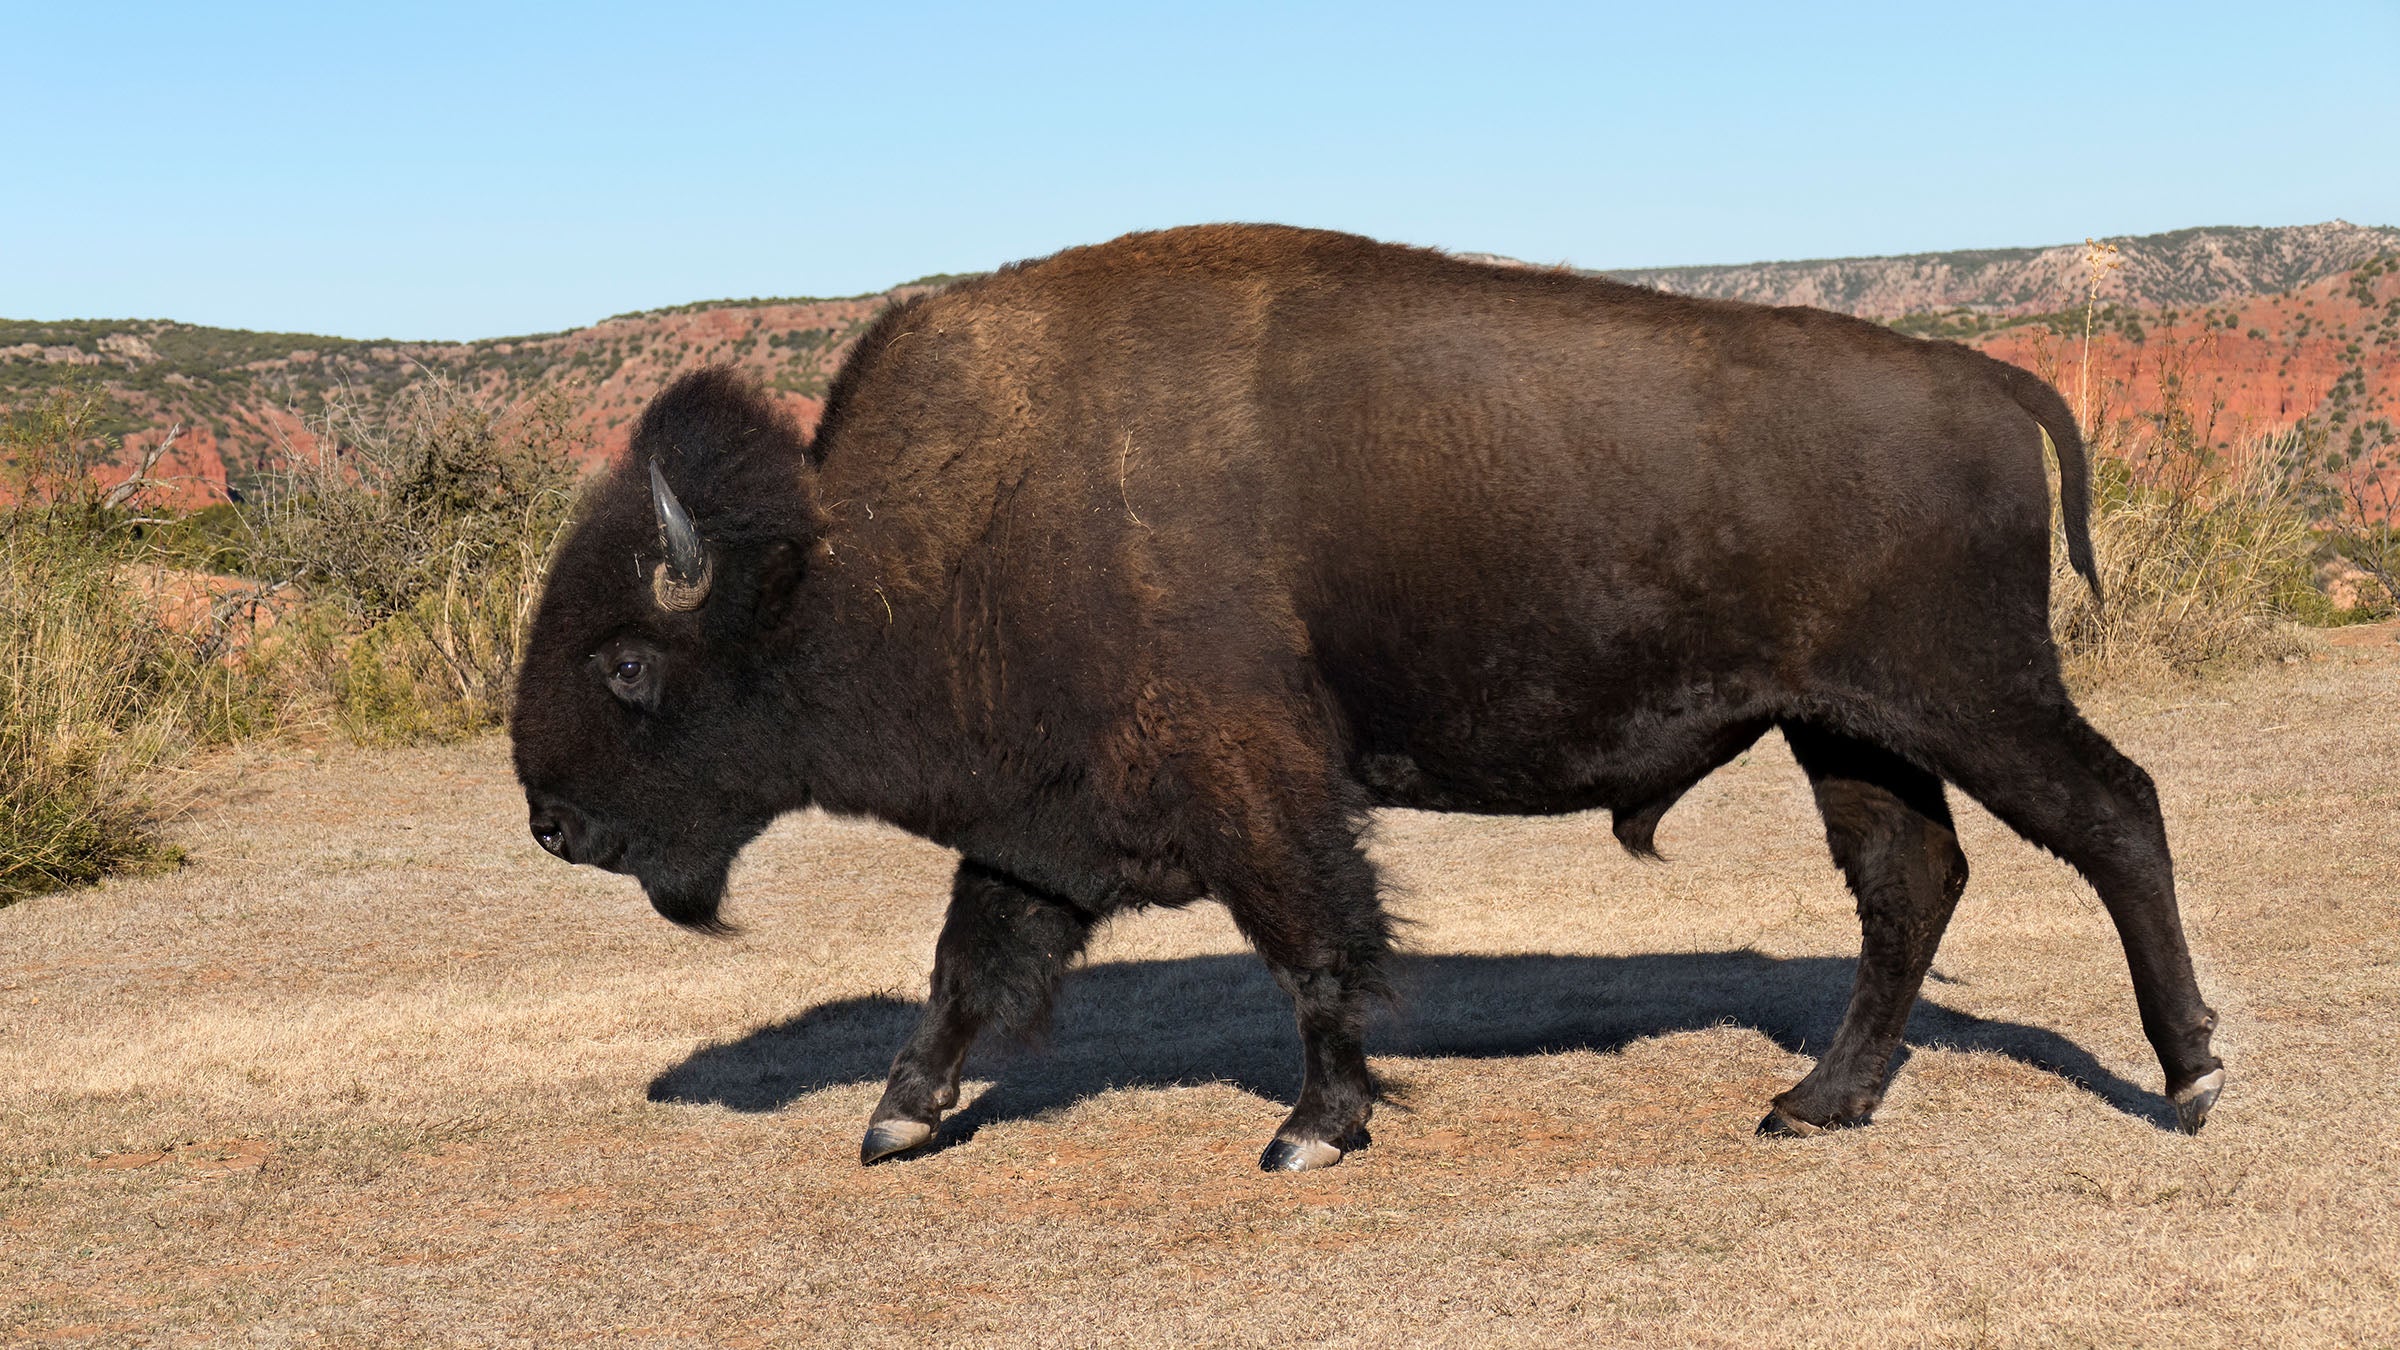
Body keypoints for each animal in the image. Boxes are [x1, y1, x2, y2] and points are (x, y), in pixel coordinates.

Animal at [511, 223, 2227, 1167]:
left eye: (626, 660)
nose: (550, 820)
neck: (890, 538)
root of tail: (1988, 377)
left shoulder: (1256, 789)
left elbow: (1318, 946)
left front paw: (1309, 1131)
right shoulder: (1033, 824)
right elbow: (969, 967)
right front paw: (897, 1117)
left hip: (1963, 694)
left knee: (2114, 809)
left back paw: (2193, 1075)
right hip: (1851, 728)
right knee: (1909, 880)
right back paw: (1818, 1101)